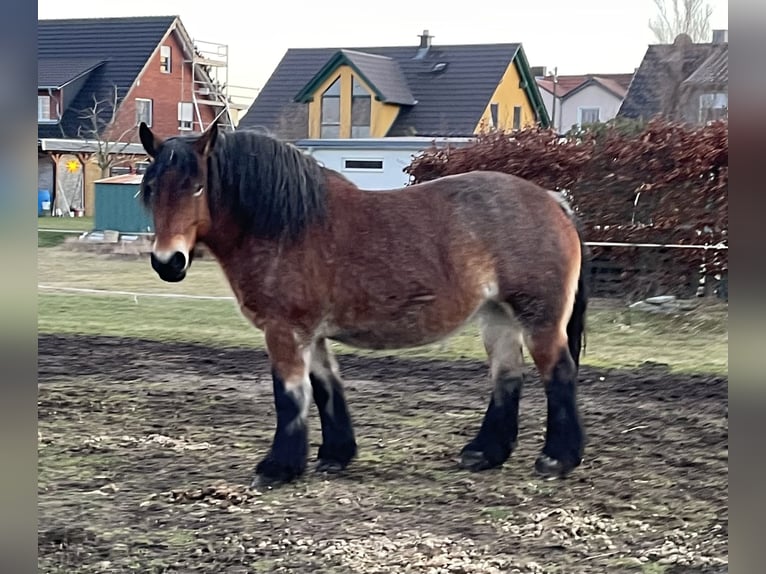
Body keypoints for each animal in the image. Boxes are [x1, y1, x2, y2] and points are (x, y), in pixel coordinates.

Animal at [138, 120, 592, 490]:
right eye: (152, 190)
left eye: (197, 187)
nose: (168, 262)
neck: (284, 226)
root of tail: (553, 201)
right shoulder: (311, 334)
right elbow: (325, 387)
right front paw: (334, 456)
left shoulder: (284, 331)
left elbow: (290, 395)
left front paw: (278, 468)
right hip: (497, 317)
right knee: (507, 378)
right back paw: (484, 453)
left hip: (538, 319)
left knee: (558, 374)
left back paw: (556, 459)